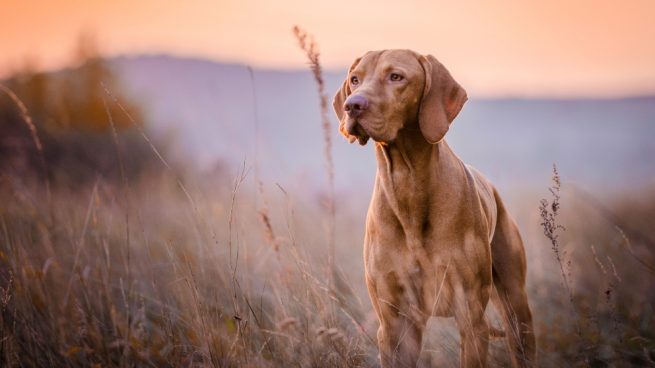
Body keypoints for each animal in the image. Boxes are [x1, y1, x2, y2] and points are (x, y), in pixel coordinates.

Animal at [336, 49, 536, 368]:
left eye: (396, 76)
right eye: (355, 79)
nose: (352, 105)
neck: (407, 185)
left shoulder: (470, 317)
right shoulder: (394, 325)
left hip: (516, 308)